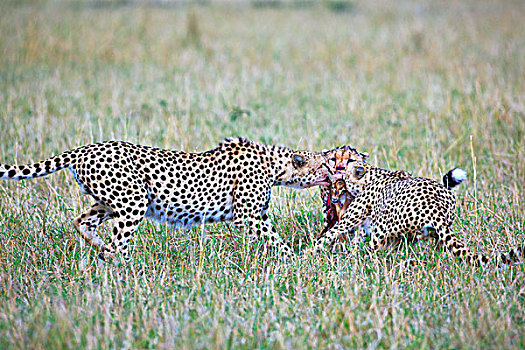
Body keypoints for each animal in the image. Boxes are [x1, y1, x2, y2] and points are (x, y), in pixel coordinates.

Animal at [314, 161, 520, 266]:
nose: (335, 172)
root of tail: (434, 204)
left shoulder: (355, 217)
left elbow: (330, 234)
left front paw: (312, 253)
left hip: (382, 229)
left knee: (371, 250)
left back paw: (362, 264)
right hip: (435, 232)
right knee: (442, 249)